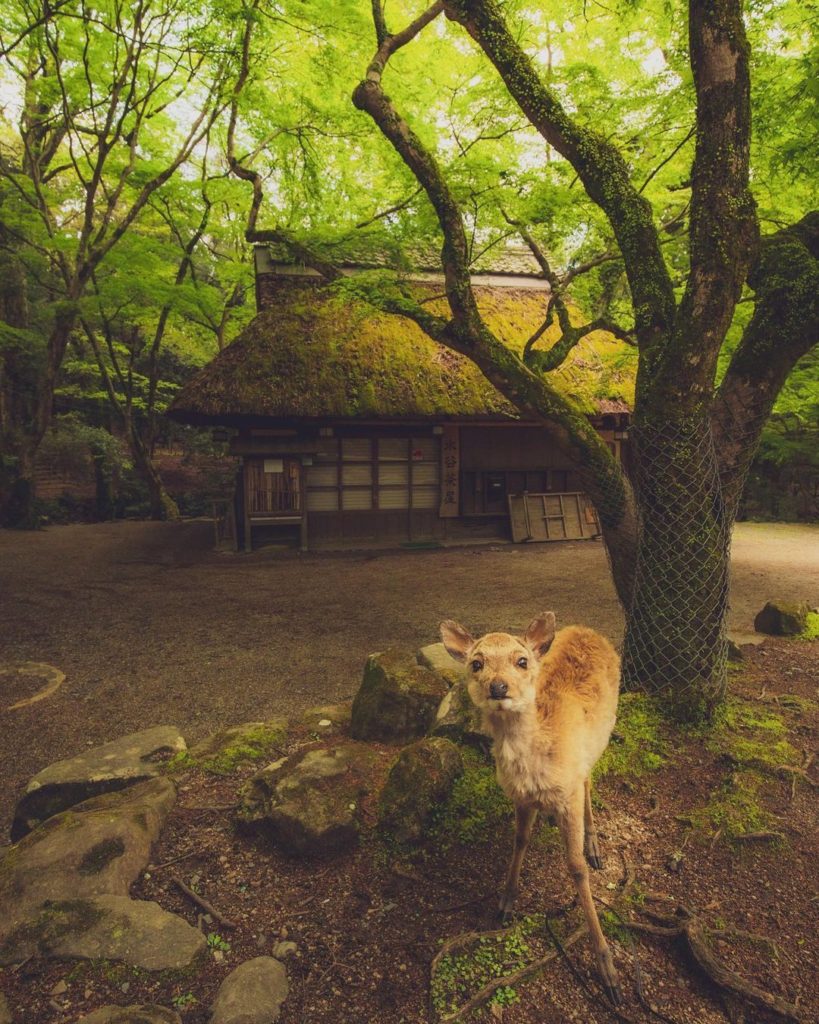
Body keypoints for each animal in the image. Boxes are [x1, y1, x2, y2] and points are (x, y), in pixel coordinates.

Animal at [440, 611, 622, 1004]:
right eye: (476, 663)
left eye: (522, 661)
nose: (498, 687)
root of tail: (588, 630)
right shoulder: (520, 797)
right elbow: (519, 840)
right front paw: (505, 903)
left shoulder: (568, 789)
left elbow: (576, 867)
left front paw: (609, 971)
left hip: (602, 734)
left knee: (589, 779)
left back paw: (594, 844)